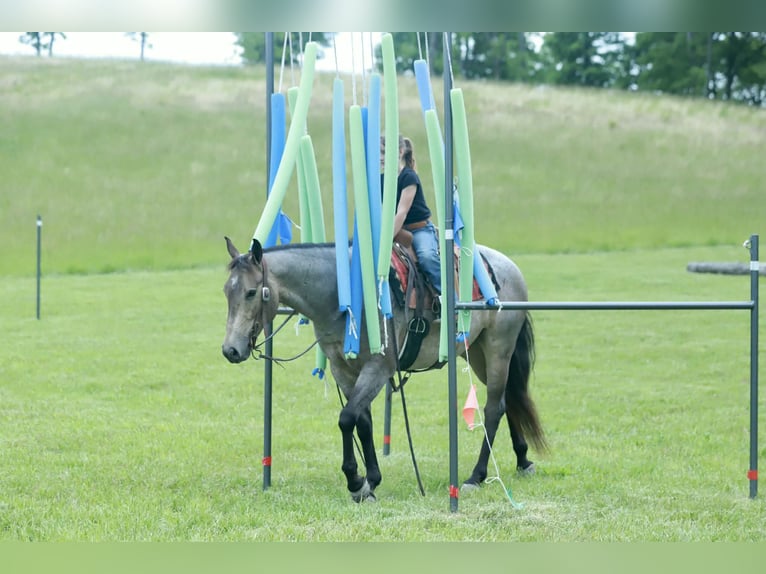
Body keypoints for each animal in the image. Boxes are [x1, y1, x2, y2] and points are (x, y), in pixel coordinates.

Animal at [221, 237, 547, 502]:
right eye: (227, 291)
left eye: (251, 292)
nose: (230, 350)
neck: (345, 297)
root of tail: (510, 265)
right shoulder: (343, 368)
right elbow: (362, 421)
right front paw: (371, 481)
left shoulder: (379, 366)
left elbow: (347, 418)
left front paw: (355, 481)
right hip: (476, 353)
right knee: (508, 400)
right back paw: (522, 460)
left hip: (498, 349)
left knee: (493, 408)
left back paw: (475, 477)